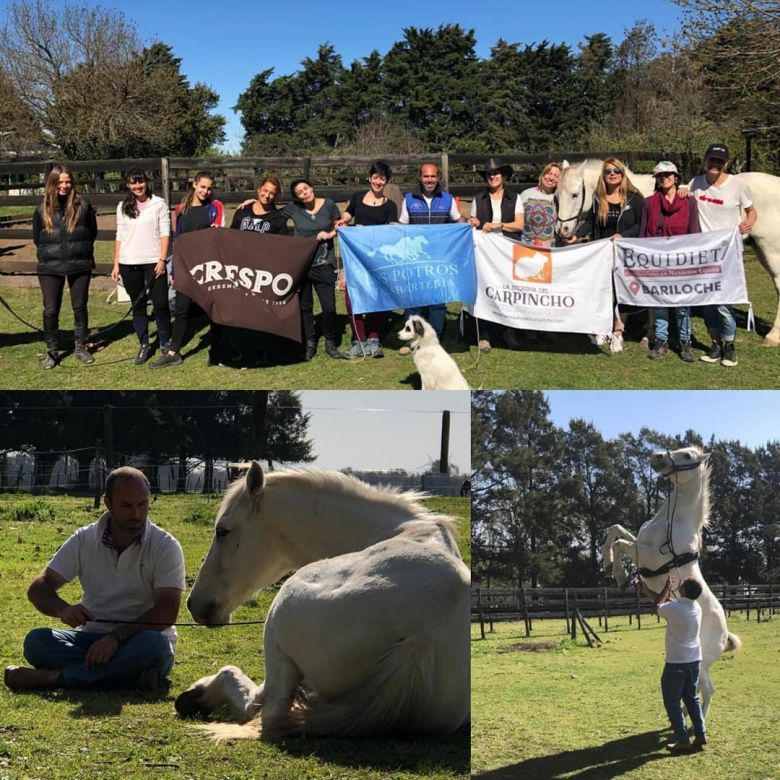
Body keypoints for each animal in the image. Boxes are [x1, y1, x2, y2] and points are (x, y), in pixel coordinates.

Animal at [175, 466, 470, 740]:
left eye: (222, 531)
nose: (195, 605)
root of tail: (421, 635)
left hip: (277, 621)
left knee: (261, 704)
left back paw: (198, 695)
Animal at [556, 161, 780, 344]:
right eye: (556, 196)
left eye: (575, 194)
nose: (563, 230)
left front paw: (649, 335)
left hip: (771, 251)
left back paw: (773, 336)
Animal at [604, 448, 744, 716]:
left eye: (688, 456)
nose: (657, 457)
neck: (673, 522)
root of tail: (725, 632)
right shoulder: (640, 542)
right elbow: (615, 529)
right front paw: (609, 564)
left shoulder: (648, 554)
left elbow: (620, 543)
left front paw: (620, 576)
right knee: (696, 689)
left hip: (702, 662)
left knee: (707, 690)